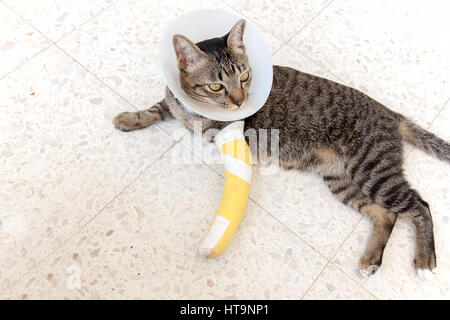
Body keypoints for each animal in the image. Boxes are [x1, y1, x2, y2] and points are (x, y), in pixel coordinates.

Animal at [113, 20, 450, 278]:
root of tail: (391, 113)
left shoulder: (223, 132)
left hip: (372, 171)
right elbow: (157, 108)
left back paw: (424, 260)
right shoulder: (173, 104)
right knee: (387, 215)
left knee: (420, 205)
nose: (239, 101)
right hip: (342, 181)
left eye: (245, 77)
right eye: (216, 85)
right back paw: (371, 259)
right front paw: (130, 118)